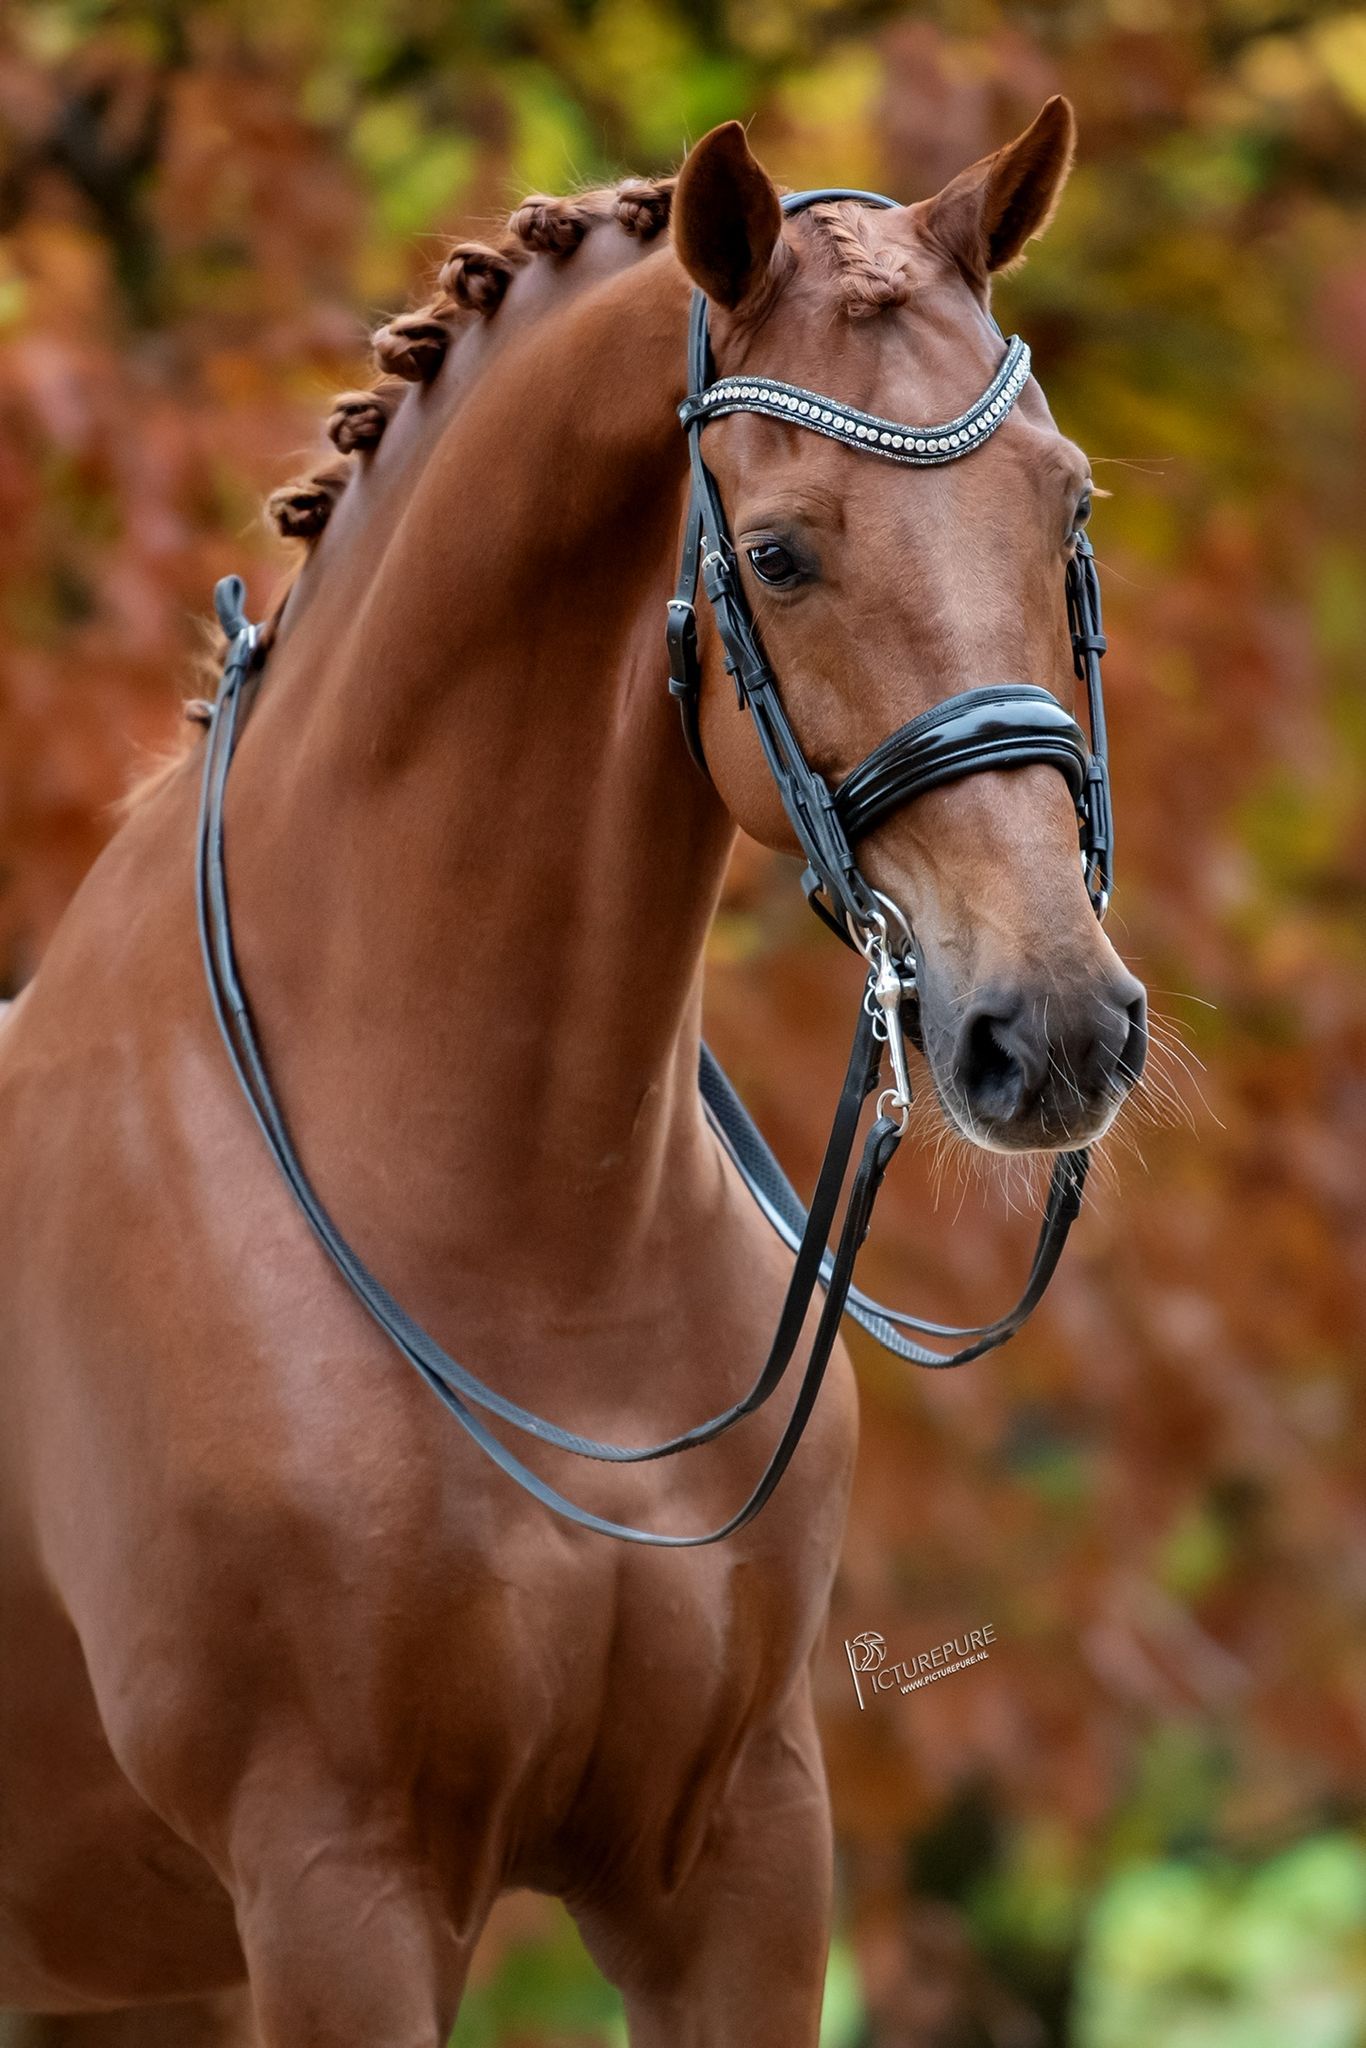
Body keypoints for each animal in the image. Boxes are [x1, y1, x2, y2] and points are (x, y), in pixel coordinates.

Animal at [0, 106, 1146, 2046]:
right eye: (780, 555)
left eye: (1063, 505)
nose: (1051, 1026)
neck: (528, 1260)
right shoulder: (338, 1886)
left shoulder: (739, 1856)